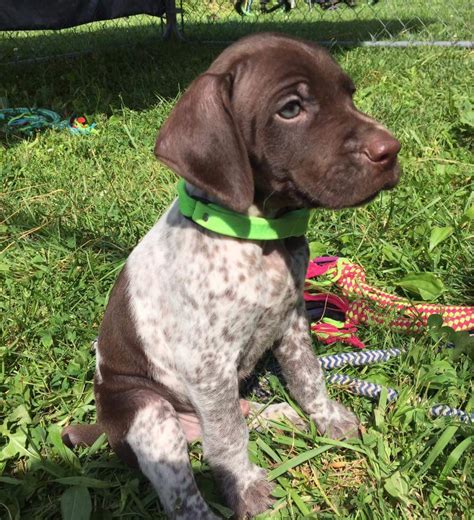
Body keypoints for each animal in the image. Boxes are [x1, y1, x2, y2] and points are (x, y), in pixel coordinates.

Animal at [63, 33, 402, 520]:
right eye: (291, 108)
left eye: (349, 95)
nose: (391, 150)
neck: (257, 237)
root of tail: (105, 430)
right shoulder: (207, 364)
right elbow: (227, 438)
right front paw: (244, 486)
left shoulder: (291, 322)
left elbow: (308, 377)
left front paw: (328, 419)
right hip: (149, 410)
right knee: (185, 487)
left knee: (238, 413)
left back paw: (279, 414)